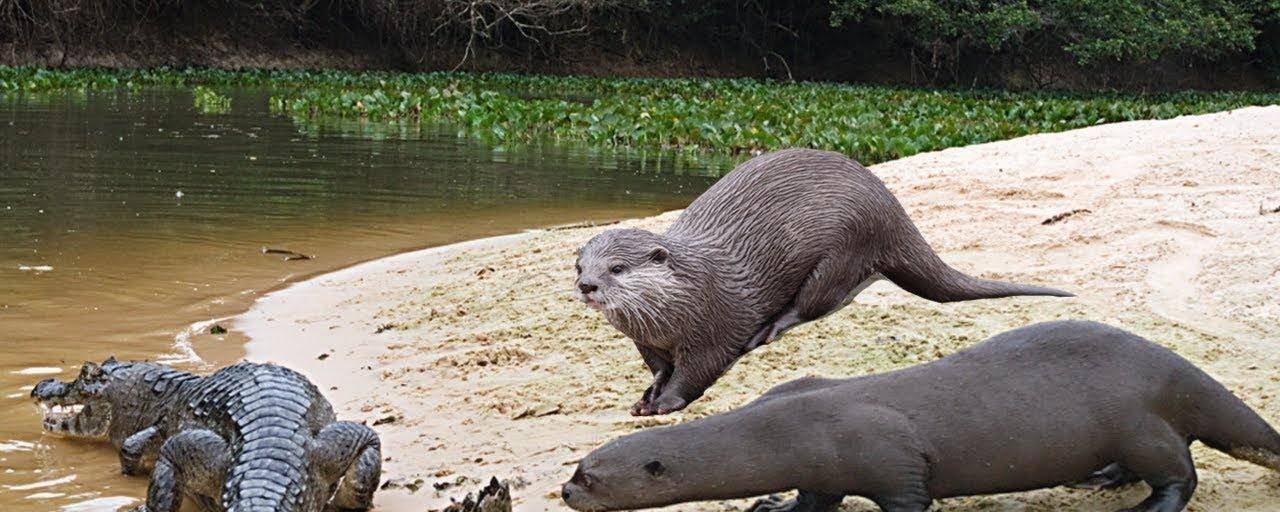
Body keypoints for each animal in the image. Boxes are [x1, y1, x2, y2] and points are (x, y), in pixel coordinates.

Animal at [560, 322, 1280, 509]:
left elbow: (907, 496)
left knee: (1181, 474)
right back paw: (1100, 479)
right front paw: (771, 504)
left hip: (1139, 424)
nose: (565, 491)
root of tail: (1177, 367)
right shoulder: (820, 470)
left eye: (590, 476)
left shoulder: (888, 460)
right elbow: (811, 500)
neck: (784, 429)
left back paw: (1147, 505)